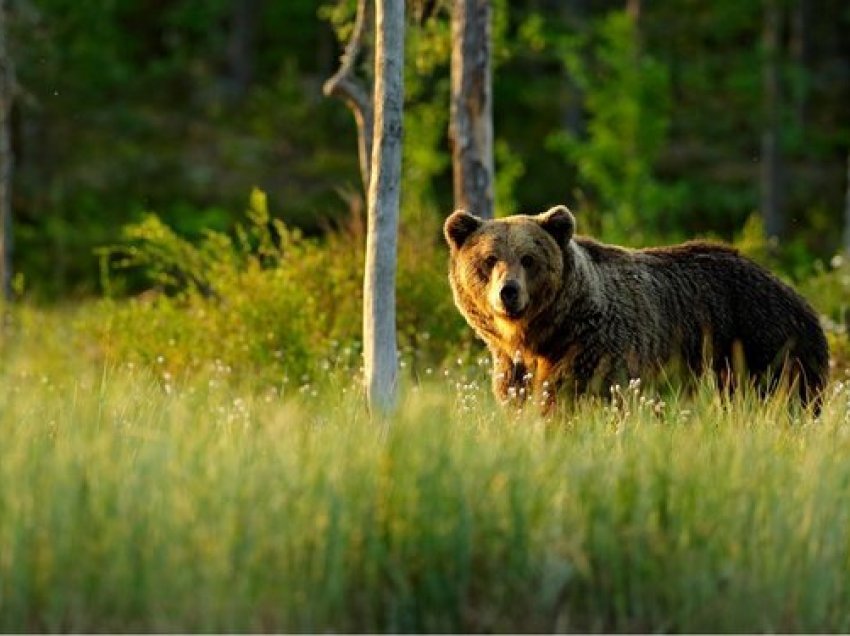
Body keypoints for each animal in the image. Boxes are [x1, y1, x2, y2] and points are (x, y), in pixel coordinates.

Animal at [444, 206, 828, 410]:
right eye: (489, 259)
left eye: (528, 259)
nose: (508, 292)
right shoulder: (513, 368)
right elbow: (520, 399)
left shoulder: (595, 351)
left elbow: (573, 399)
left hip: (762, 345)